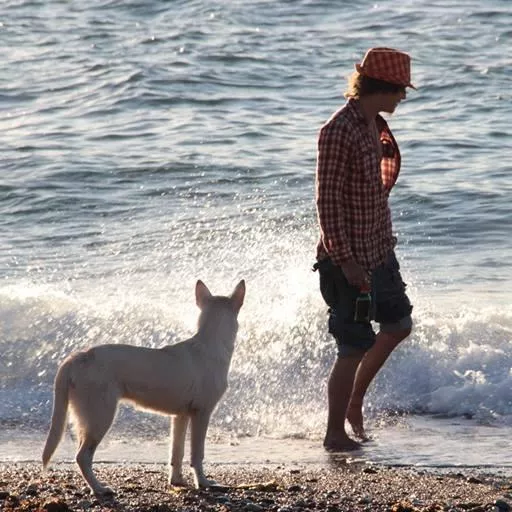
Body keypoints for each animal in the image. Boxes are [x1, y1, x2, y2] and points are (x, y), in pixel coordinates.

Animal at [42, 280, 246, 496]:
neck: (210, 343)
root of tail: (79, 357)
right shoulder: (202, 414)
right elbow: (197, 455)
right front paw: (203, 483)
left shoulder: (180, 417)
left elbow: (177, 453)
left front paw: (177, 482)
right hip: (100, 418)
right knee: (83, 457)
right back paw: (99, 488)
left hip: (90, 419)